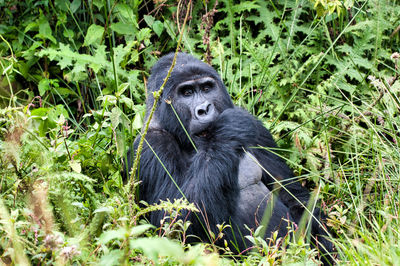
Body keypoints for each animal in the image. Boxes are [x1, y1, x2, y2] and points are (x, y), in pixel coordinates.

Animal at [127, 51, 332, 258]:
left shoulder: (256, 128)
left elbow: (294, 196)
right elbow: (173, 223)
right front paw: (228, 130)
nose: (204, 109)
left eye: (207, 88)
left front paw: (327, 245)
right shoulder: (150, 146)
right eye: (187, 93)